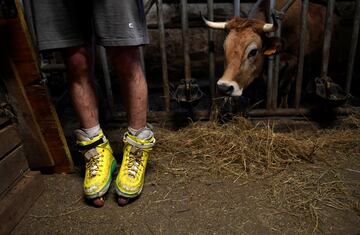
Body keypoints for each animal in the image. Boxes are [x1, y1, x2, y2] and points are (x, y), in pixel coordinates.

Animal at [202, 0, 330, 106]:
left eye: (253, 52)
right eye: (224, 48)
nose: (223, 88)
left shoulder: (294, 60)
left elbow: (284, 88)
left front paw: (282, 106)